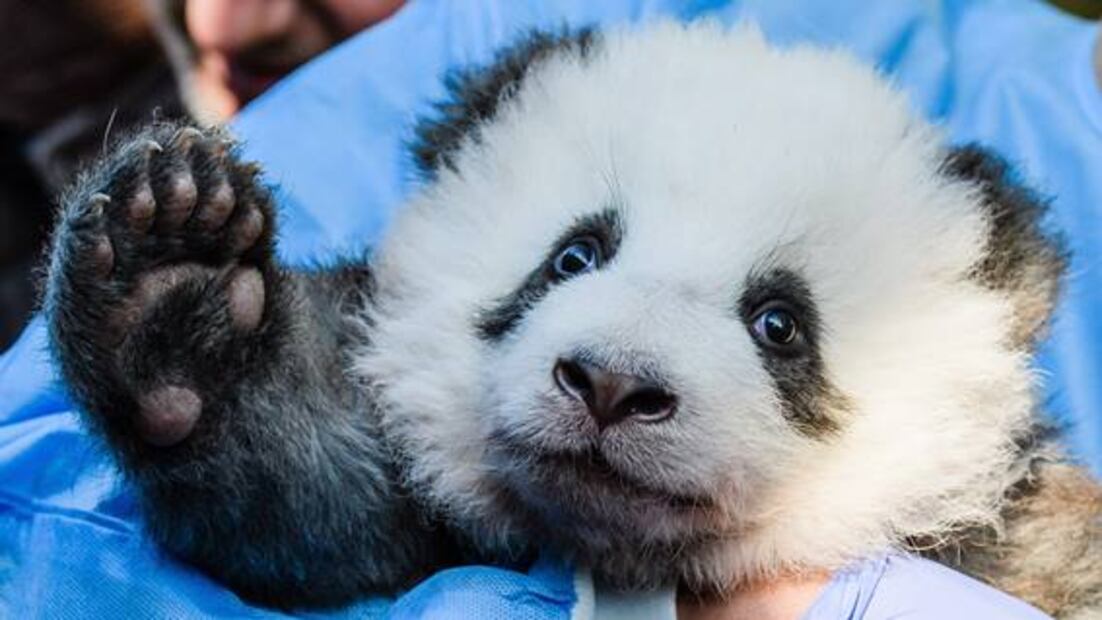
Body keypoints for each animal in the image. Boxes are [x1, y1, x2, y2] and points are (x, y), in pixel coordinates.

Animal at [44, 21, 1101, 617]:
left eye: (779, 324)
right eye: (574, 257)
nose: (613, 384)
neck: (628, 557)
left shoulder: (1012, 533)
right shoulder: (422, 510)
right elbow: (313, 502)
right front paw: (171, 285)